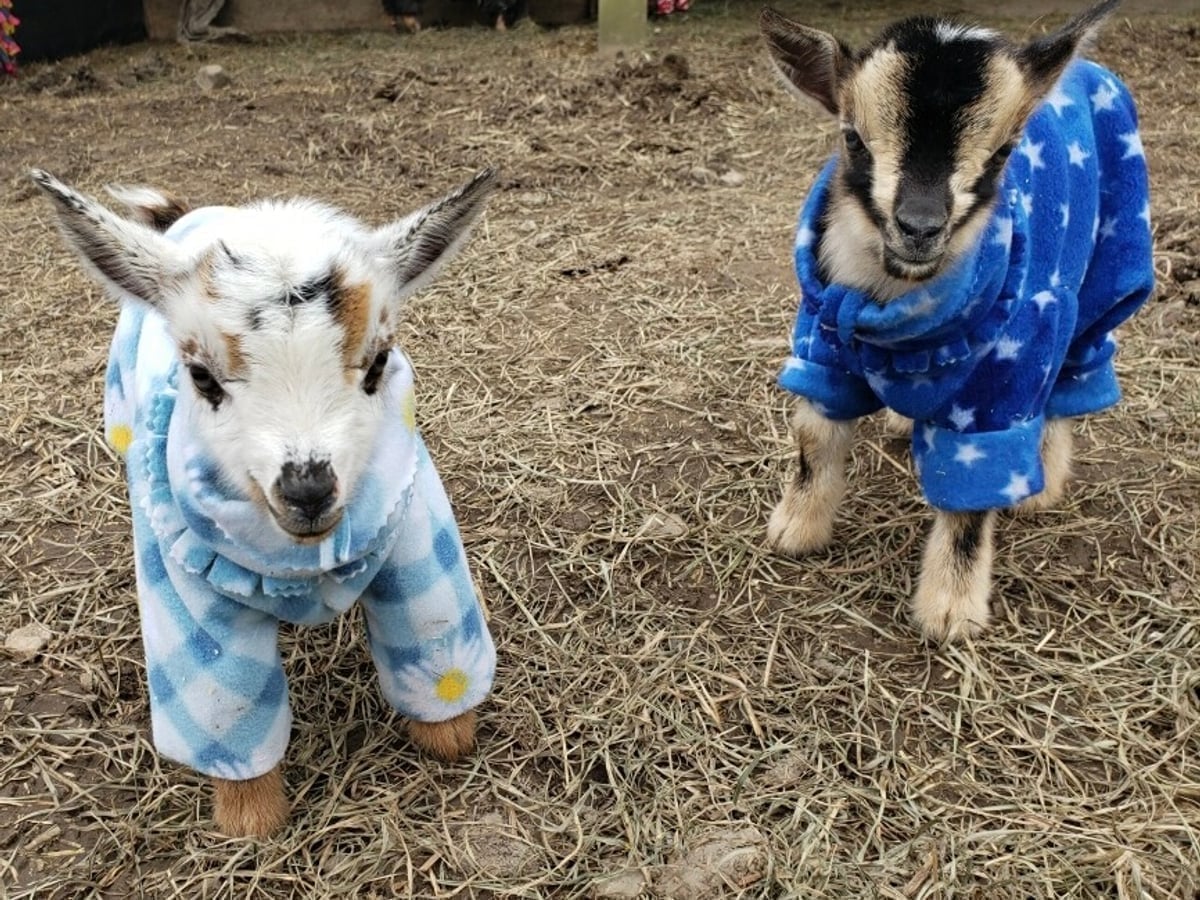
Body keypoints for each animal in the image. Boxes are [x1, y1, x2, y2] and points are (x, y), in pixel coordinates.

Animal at [33, 168, 498, 836]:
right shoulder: (188, 592)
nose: (307, 489)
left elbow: (433, 641)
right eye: (201, 376)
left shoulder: (413, 537)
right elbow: (222, 708)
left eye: (379, 361)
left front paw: (450, 738)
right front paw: (251, 820)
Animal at [759, 1, 1154, 641]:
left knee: (1071, 372)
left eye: (1004, 152)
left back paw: (1041, 484)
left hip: (1102, 280)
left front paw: (949, 612)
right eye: (853, 139)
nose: (920, 226)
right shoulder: (824, 342)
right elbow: (814, 438)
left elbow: (972, 495)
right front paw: (795, 531)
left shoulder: (998, 383)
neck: (893, 302)